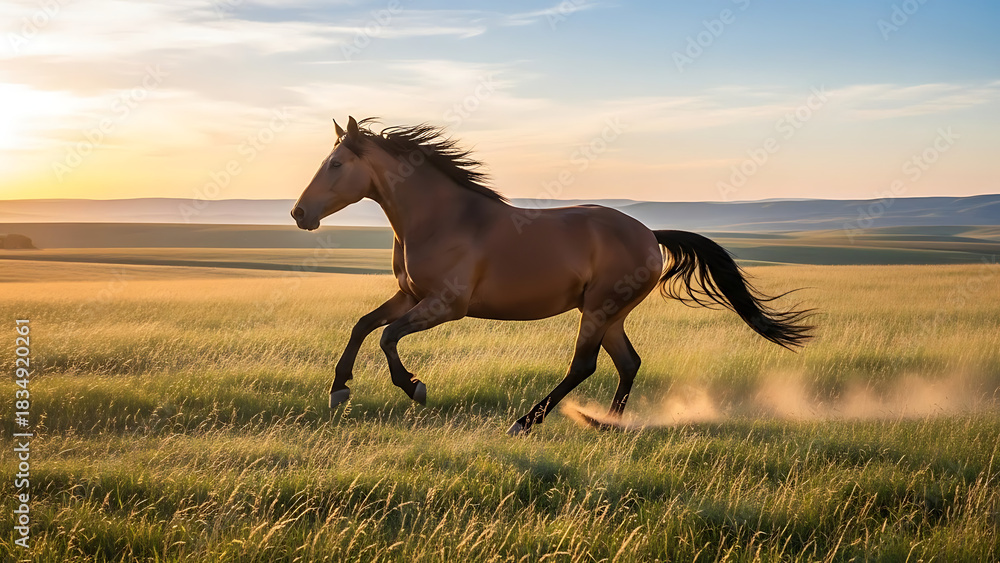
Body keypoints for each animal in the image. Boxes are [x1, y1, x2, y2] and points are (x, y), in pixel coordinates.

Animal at [291, 116, 812, 435]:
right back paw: (609, 424)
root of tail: (648, 233)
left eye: (335, 164)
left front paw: (414, 387)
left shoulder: (445, 305)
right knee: (629, 363)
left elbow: (388, 337)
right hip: (610, 314)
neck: (443, 219)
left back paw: (526, 421)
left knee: (585, 366)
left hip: (599, 310)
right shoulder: (409, 296)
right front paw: (338, 390)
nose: (299, 214)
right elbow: (364, 325)